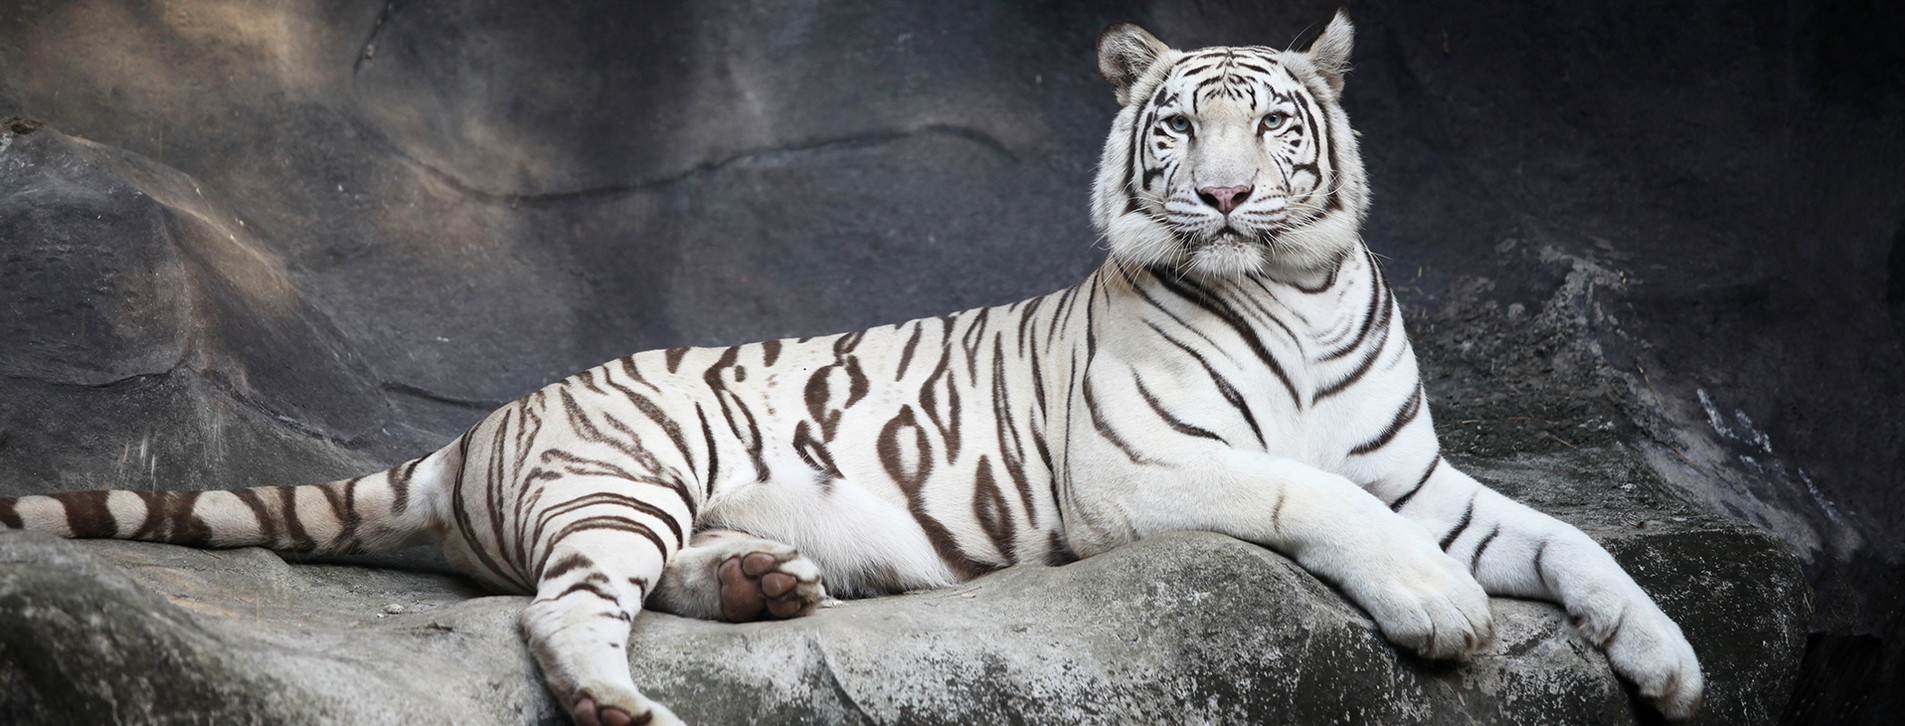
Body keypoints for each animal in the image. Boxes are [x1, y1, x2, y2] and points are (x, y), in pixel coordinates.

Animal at [0, 12, 1699, 724]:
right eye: (1177, 125)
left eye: (1269, 124)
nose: (1219, 198)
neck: (1290, 288)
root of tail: (480, 427)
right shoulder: (1144, 467)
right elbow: (1318, 501)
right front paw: (1445, 613)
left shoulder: (1421, 470)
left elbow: (1570, 538)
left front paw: (1671, 661)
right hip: (625, 474)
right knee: (558, 615)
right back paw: (630, 706)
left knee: (611, 587)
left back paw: (767, 586)